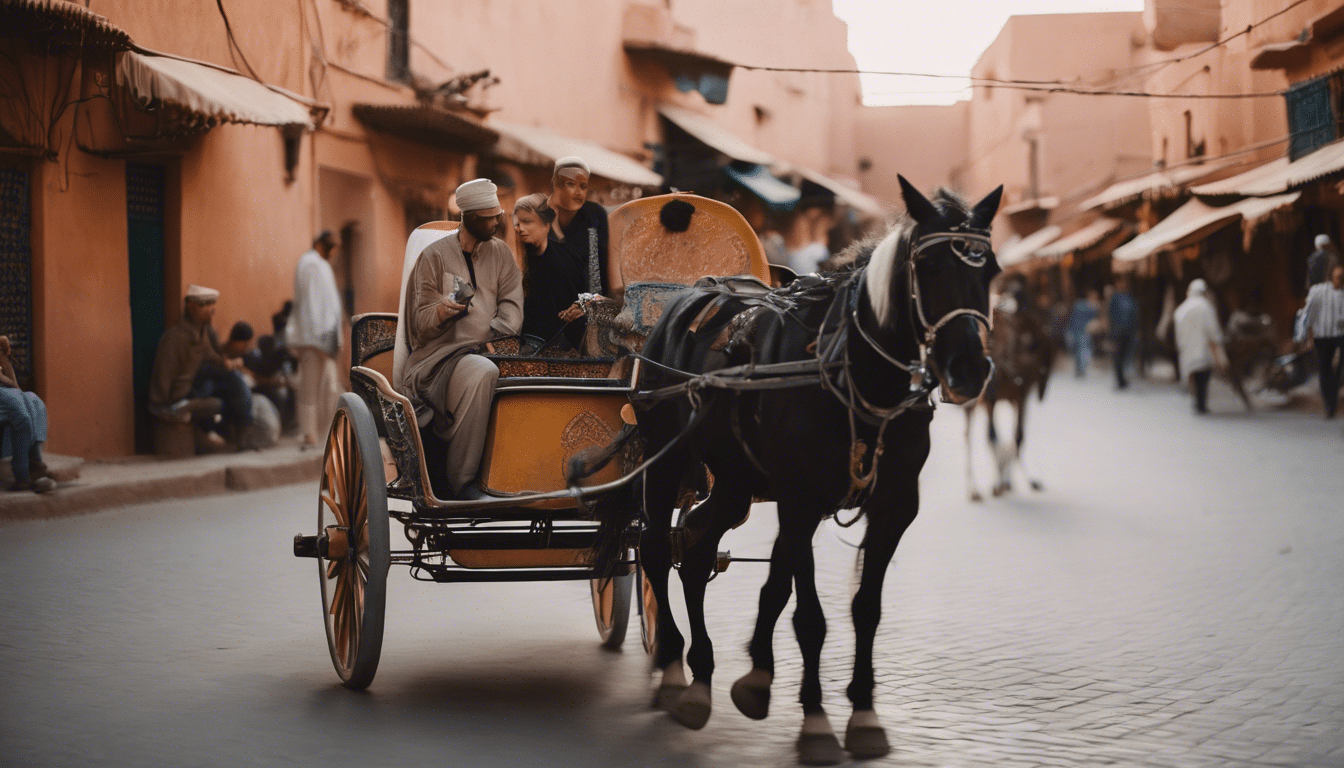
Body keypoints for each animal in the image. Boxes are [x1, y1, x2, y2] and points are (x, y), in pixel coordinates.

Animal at [594, 178, 1005, 763]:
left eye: (989, 268)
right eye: (928, 268)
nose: (969, 369)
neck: (854, 371)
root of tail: (681, 301)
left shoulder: (892, 508)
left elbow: (857, 607)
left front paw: (858, 711)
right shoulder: (800, 501)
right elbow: (809, 617)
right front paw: (816, 722)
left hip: (736, 482)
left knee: (693, 548)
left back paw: (702, 676)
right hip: (666, 459)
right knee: (653, 549)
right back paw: (673, 667)